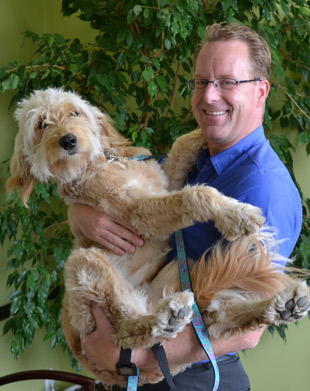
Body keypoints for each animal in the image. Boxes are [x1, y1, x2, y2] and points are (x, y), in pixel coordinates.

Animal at [7, 88, 310, 386]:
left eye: (74, 112)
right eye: (41, 125)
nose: (68, 140)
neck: (104, 163)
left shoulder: (164, 182)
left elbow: (182, 146)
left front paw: (202, 132)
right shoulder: (139, 213)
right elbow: (193, 194)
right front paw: (236, 214)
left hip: (175, 280)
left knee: (217, 319)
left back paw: (283, 306)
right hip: (85, 267)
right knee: (127, 329)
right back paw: (164, 321)